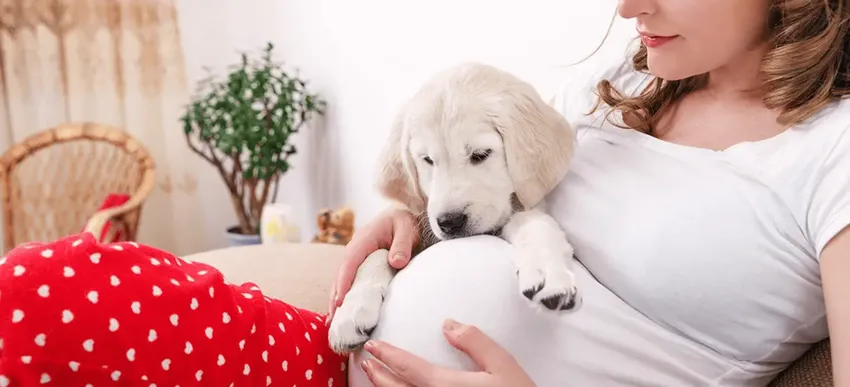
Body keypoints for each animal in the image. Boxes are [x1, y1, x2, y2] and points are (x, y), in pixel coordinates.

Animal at [324, 61, 576, 354]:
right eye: (427, 160)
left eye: (480, 155)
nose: (450, 222)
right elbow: (376, 253)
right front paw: (351, 311)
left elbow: (536, 224)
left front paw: (549, 273)